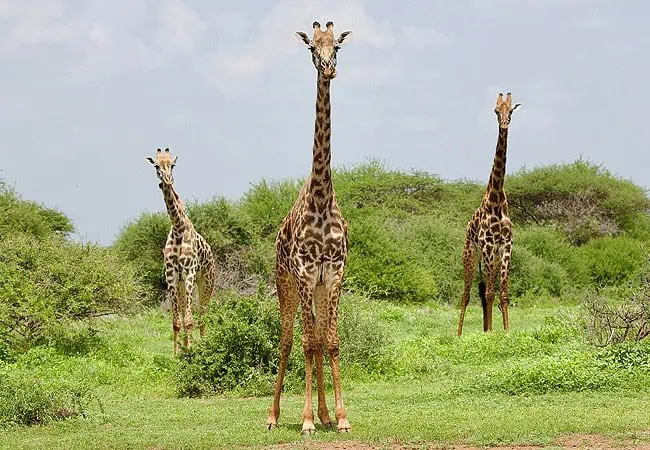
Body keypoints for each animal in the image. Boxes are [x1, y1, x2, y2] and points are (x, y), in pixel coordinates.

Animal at [145, 148, 217, 355]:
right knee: (188, 314)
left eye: (173, 165)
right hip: (182, 283)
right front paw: (178, 355)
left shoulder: (190, 271)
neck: (178, 228)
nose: (167, 180)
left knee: (202, 316)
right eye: (156, 166)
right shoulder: (171, 275)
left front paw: (192, 352)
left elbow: (190, 320)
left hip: (206, 280)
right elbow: (177, 322)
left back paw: (203, 346)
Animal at [457, 93, 521, 336]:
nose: (504, 123)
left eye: (510, 110)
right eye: (496, 111)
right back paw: (458, 335)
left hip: (488, 256)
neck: (496, 200)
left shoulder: (506, 245)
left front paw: (505, 331)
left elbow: (502, 293)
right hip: (470, 253)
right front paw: (491, 334)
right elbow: (490, 293)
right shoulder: (487, 244)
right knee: (466, 294)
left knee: (483, 289)